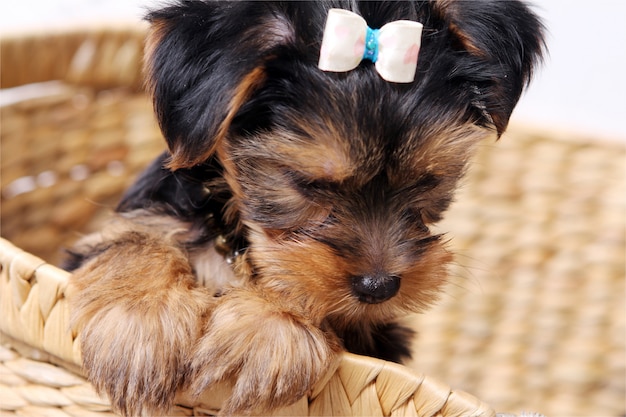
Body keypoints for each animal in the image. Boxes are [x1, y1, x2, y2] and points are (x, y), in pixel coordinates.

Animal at [63, 1, 540, 414]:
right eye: (308, 183)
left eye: (429, 181)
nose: (378, 287)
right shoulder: (153, 212)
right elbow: (132, 240)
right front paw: (141, 320)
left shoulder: (376, 334)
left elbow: (309, 289)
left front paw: (267, 329)